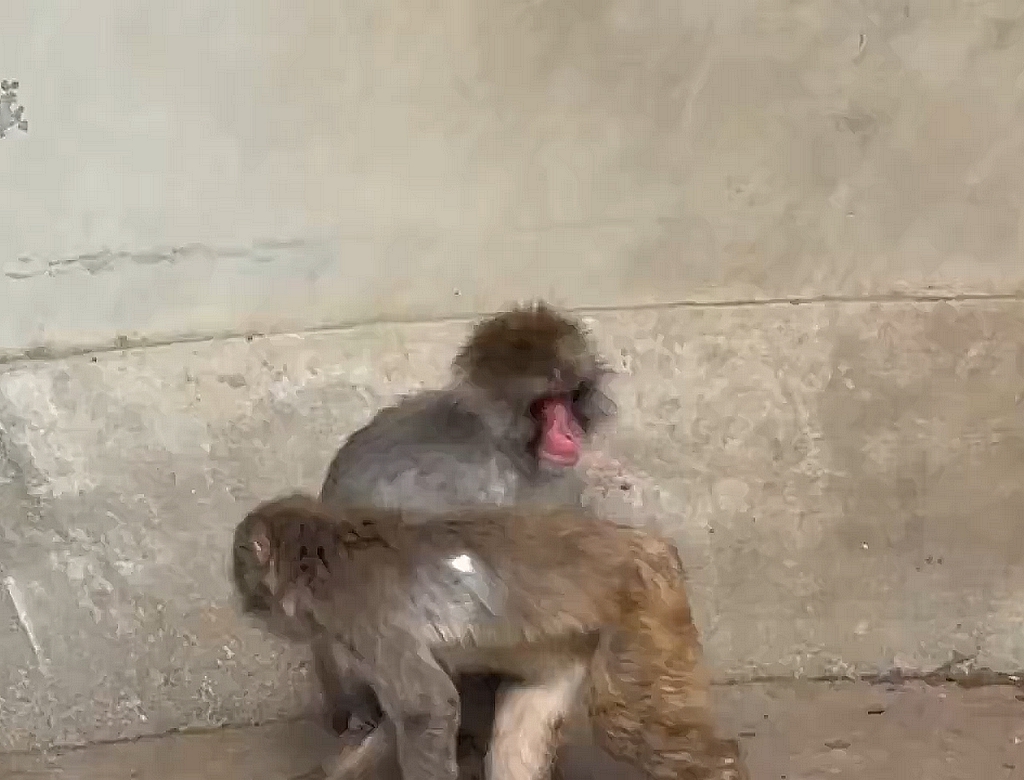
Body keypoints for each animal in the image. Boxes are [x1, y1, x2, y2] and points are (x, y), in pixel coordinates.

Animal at [232, 494, 748, 780]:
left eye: (243, 577)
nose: (245, 607)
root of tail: (653, 547)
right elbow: (416, 715)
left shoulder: (361, 612)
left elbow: (426, 709)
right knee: (519, 738)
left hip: (644, 619)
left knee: (624, 722)